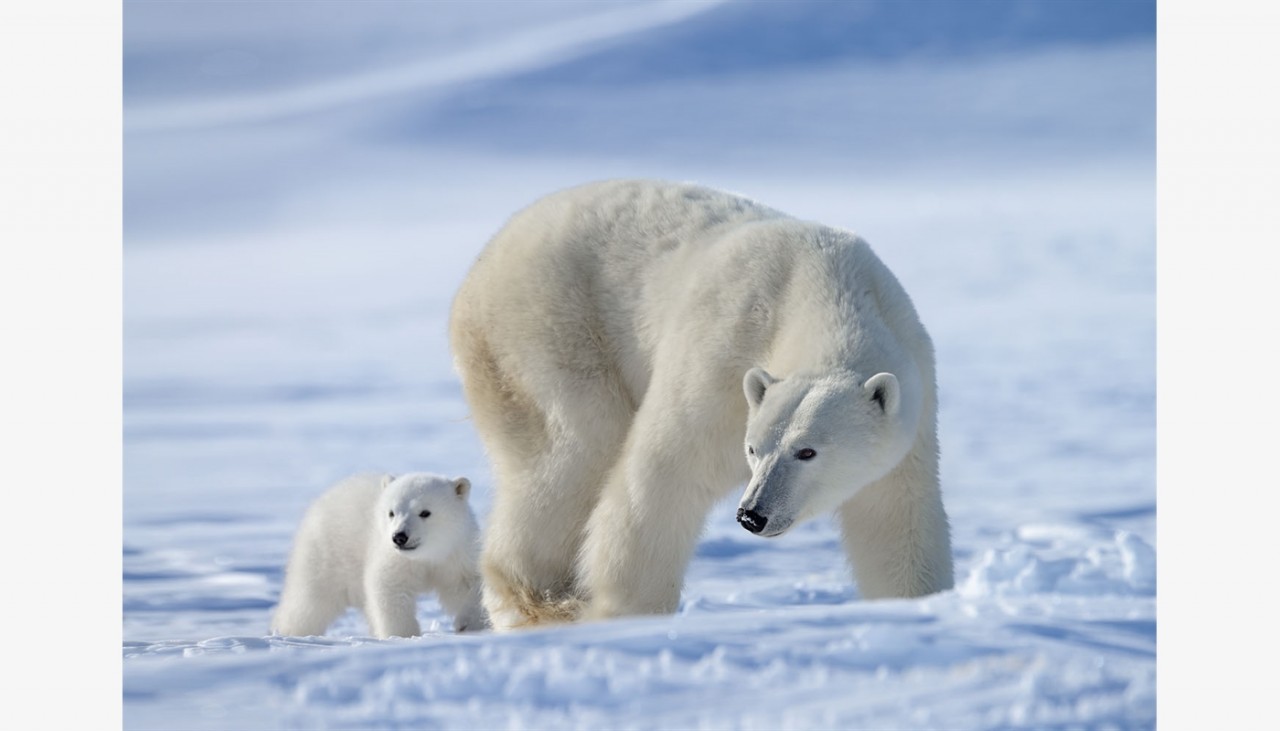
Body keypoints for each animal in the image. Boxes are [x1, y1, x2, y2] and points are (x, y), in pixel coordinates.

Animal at [450, 179, 952, 629]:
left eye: (807, 451)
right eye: (754, 449)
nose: (752, 515)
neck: (827, 287)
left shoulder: (911, 411)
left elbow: (895, 520)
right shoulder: (722, 355)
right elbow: (663, 475)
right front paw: (630, 614)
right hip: (548, 331)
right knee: (575, 451)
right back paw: (543, 604)